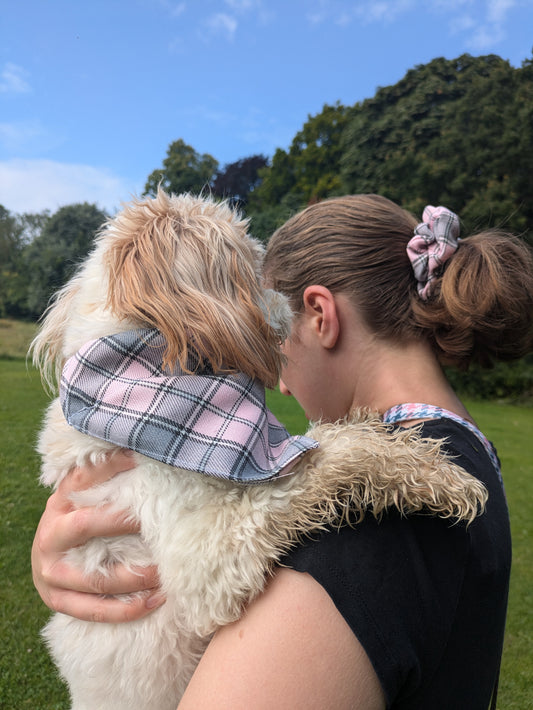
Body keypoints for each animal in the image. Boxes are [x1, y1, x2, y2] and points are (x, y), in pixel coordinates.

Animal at [30, 191, 486, 710]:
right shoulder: (206, 561)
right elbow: (330, 454)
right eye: (255, 269)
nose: (289, 301)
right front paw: (437, 475)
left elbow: (329, 439)